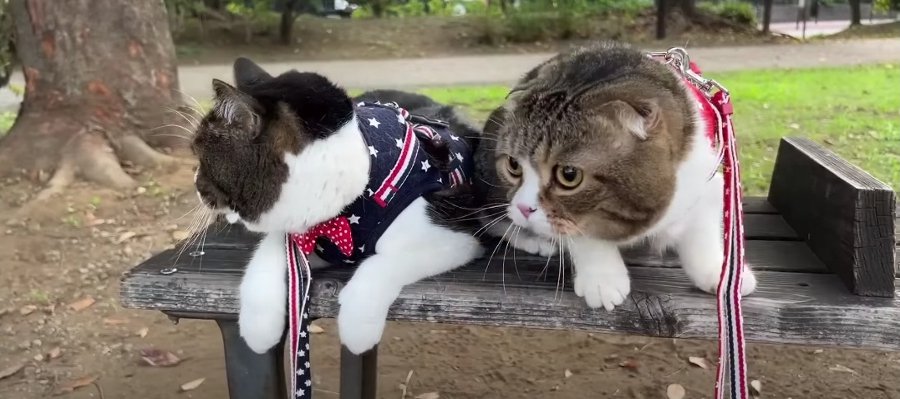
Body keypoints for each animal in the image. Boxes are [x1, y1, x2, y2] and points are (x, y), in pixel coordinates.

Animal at [192, 57, 482, 354]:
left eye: (200, 157)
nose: (195, 183)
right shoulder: (302, 232)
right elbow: (265, 260)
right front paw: (258, 331)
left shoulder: (455, 235)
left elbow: (386, 262)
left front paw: (357, 328)